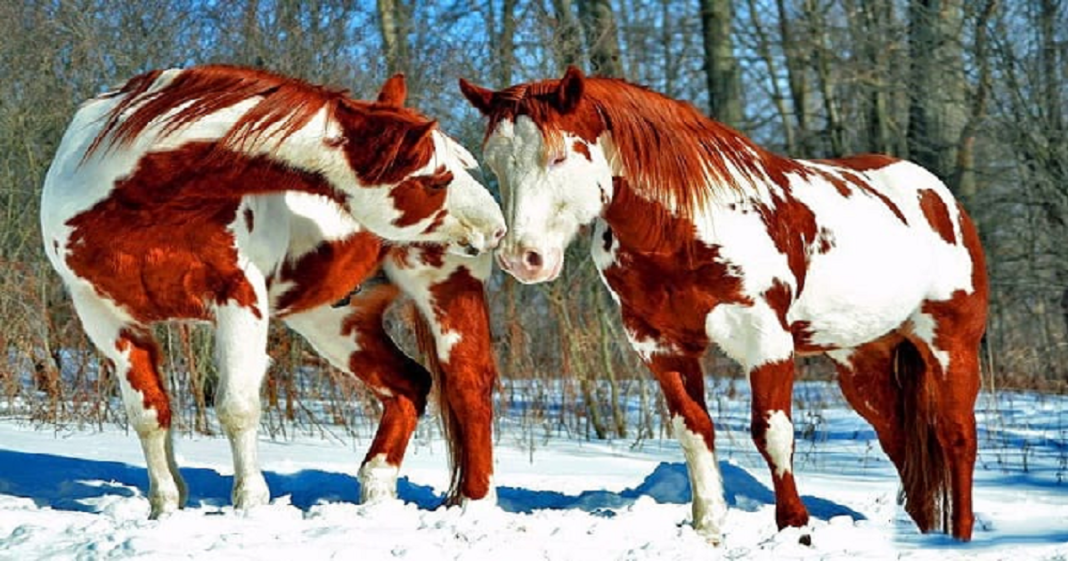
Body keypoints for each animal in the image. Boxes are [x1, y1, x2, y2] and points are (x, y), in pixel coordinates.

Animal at [41, 66, 504, 521]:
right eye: (436, 180)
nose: (497, 228)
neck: (142, 202)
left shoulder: (239, 299)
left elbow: (237, 407)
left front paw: (250, 505)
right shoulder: (107, 319)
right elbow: (150, 415)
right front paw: (165, 508)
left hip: (446, 289)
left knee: (468, 386)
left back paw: (474, 505)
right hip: (335, 321)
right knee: (408, 386)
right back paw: (376, 493)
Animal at [463, 66, 986, 542]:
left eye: (558, 157)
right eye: (495, 162)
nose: (523, 258)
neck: (683, 228)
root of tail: (940, 197)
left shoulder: (766, 343)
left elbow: (771, 433)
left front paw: (795, 528)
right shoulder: (662, 348)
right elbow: (693, 431)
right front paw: (709, 528)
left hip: (950, 346)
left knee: (957, 437)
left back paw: (960, 538)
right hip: (863, 364)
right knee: (901, 443)